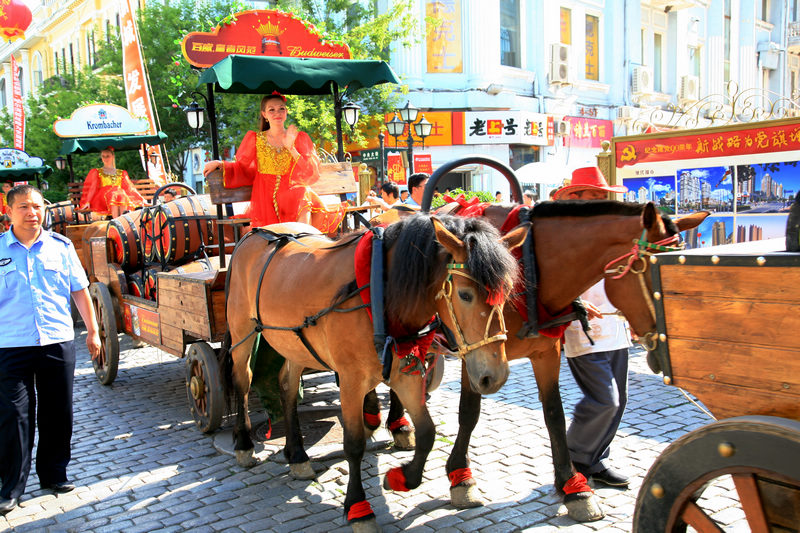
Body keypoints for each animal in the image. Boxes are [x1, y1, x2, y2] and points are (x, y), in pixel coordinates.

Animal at [222, 214, 528, 528]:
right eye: (466, 295)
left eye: (506, 292)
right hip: (242, 331)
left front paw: (403, 477)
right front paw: (358, 507)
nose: (495, 376)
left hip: (295, 342)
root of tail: (255, 233)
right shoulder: (350, 381)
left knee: (287, 386)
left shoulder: (405, 373)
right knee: (243, 381)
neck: (379, 289)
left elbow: (427, 432)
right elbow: (354, 444)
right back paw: (244, 444)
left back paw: (297, 455)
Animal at [382, 200, 708, 520]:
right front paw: (461, 477)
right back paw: (398, 424)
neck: (532, 267)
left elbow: (555, 414)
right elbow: (469, 412)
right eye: (658, 275)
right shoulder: (473, 352)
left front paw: (574, 486)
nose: (668, 352)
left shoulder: (545, 352)